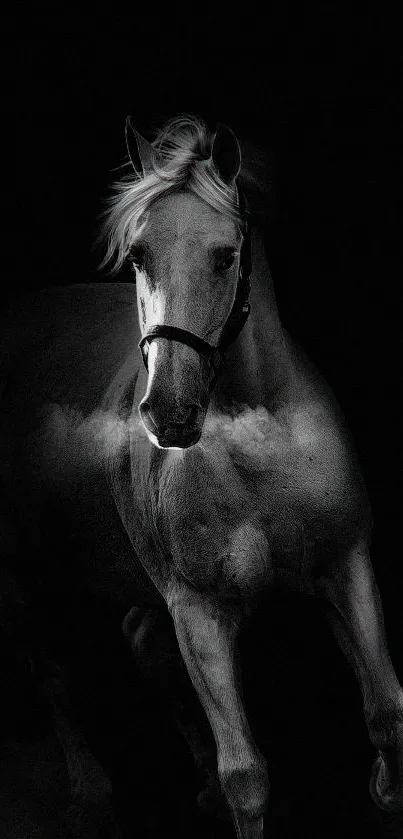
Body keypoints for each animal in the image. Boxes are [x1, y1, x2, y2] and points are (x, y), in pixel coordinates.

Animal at [0, 113, 402, 839]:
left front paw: (385, 792)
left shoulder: (346, 564)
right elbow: (246, 775)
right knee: (50, 674)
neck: (256, 441)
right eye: (138, 255)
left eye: (224, 256)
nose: (169, 411)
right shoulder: (199, 610)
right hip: (19, 575)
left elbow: (386, 710)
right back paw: (89, 792)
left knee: (138, 644)